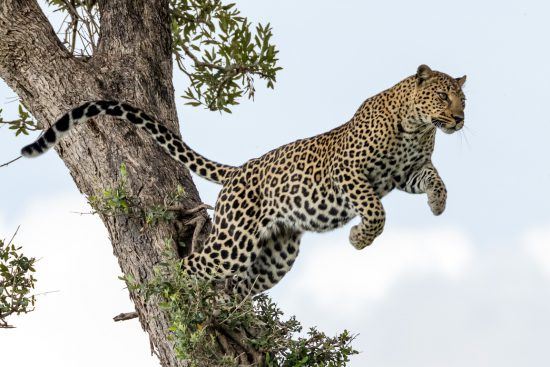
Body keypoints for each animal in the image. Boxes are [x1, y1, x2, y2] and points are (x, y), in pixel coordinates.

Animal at [19, 64, 468, 298]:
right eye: (443, 96)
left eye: (463, 98)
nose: (461, 118)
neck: (415, 126)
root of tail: (238, 171)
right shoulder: (349, 172)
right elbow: (375, 210)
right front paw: (360, 238)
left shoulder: (409, 171)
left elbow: (435, 178)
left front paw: (438, 203)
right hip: (233, 241)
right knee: (191, 265)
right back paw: (167, 287)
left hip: (277, 253)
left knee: (240, 286)